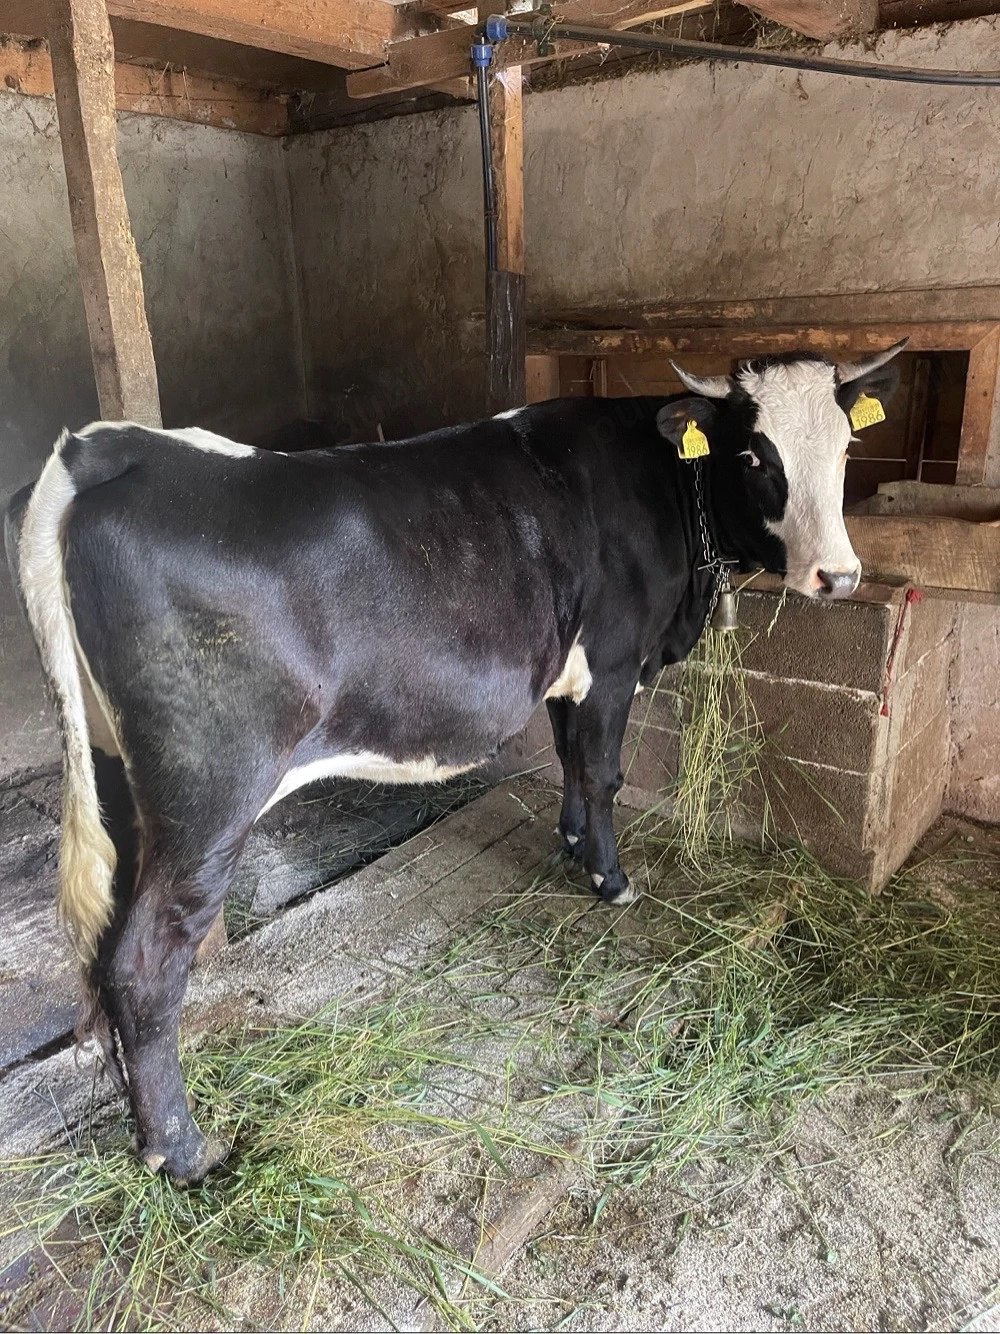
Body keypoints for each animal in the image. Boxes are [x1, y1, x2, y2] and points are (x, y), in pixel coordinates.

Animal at [4, 341, 905, 1184]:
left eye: (846, 450)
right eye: (754, 456)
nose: (839, 576)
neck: (656, 483)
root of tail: (113, 447)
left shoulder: (566, 670)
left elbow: (569, 760)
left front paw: (571, 845)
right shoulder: (613, 663)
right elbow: (603, 772)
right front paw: (611, 878)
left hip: (116, 772)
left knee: (104, 950)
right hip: (208, 790)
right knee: (145, 963)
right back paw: (183, 1150)